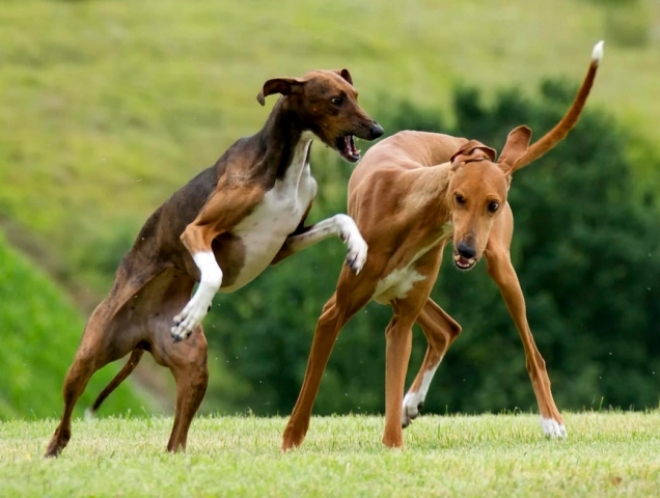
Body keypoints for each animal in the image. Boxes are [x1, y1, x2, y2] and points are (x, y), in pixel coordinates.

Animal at [45, 68, 382, 458]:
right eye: (335, 100)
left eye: (355, 94)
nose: (377, 130)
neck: (286, 168)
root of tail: (141, 335)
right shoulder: (197, 230)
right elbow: (215, 274)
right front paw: (193, 311)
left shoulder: (283, 244)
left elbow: (341, 218)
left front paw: (358, 248)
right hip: (90, 353)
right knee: (66, 416)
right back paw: (54, 447)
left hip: (195, 370)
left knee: (176, 439)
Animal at [282, 40, 604, 450]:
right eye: (459, 198)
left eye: (492, 205)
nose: (466, 251)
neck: (409, 213)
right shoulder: (334, 312)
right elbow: (311, 385)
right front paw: (291, 440)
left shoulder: (400, 324)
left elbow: (391, 389)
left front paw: (392, 444)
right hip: (392, 293)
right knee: (446, 329)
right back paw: (411, 404)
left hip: (498, 270)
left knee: (528, 353)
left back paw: (551, 420)